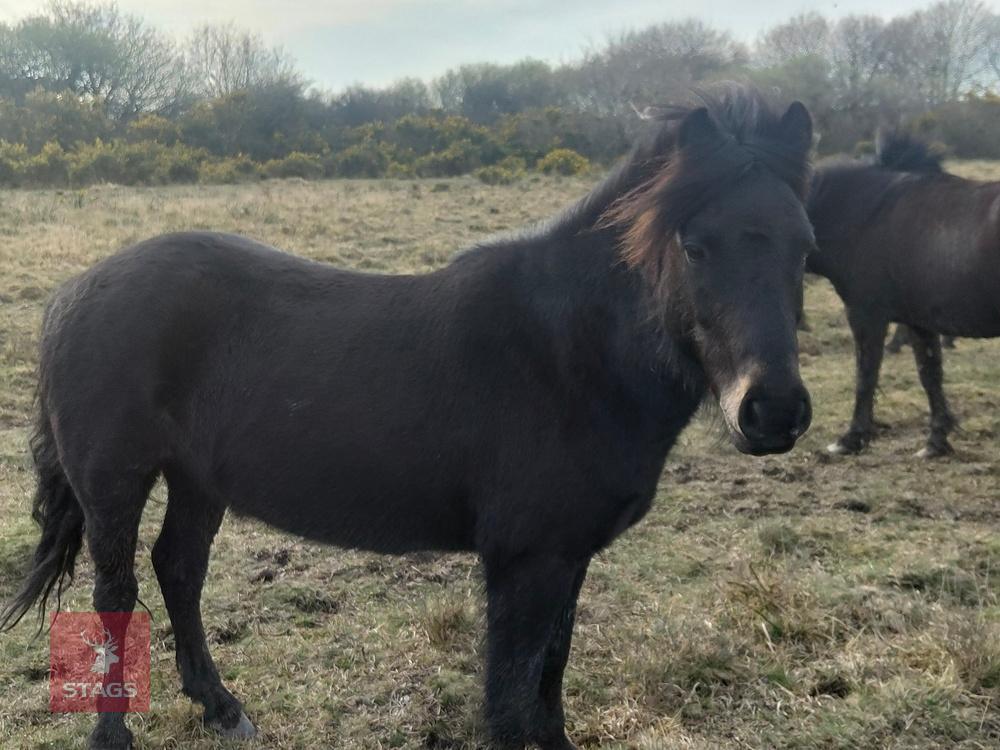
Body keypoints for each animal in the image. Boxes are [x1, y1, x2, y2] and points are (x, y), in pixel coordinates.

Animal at [1, 85, 815, 750]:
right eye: (693, 245)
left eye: (805, 247)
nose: (772, 411)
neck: (567, 351)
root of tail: (75, 291)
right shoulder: (525, 560)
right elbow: (512, 702)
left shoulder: (565, 555)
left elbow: (549, 684)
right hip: (115, 481)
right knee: (115, 597)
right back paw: (113, 735)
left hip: (198, 480)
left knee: (179, 570)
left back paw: (223, 709)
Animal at [807, 132, 1000, 457]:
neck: (867, 215)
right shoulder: (919, 322)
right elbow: (930, 375)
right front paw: (936, 441)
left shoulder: (866, 315)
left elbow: (866, 375)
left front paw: (851, 438)